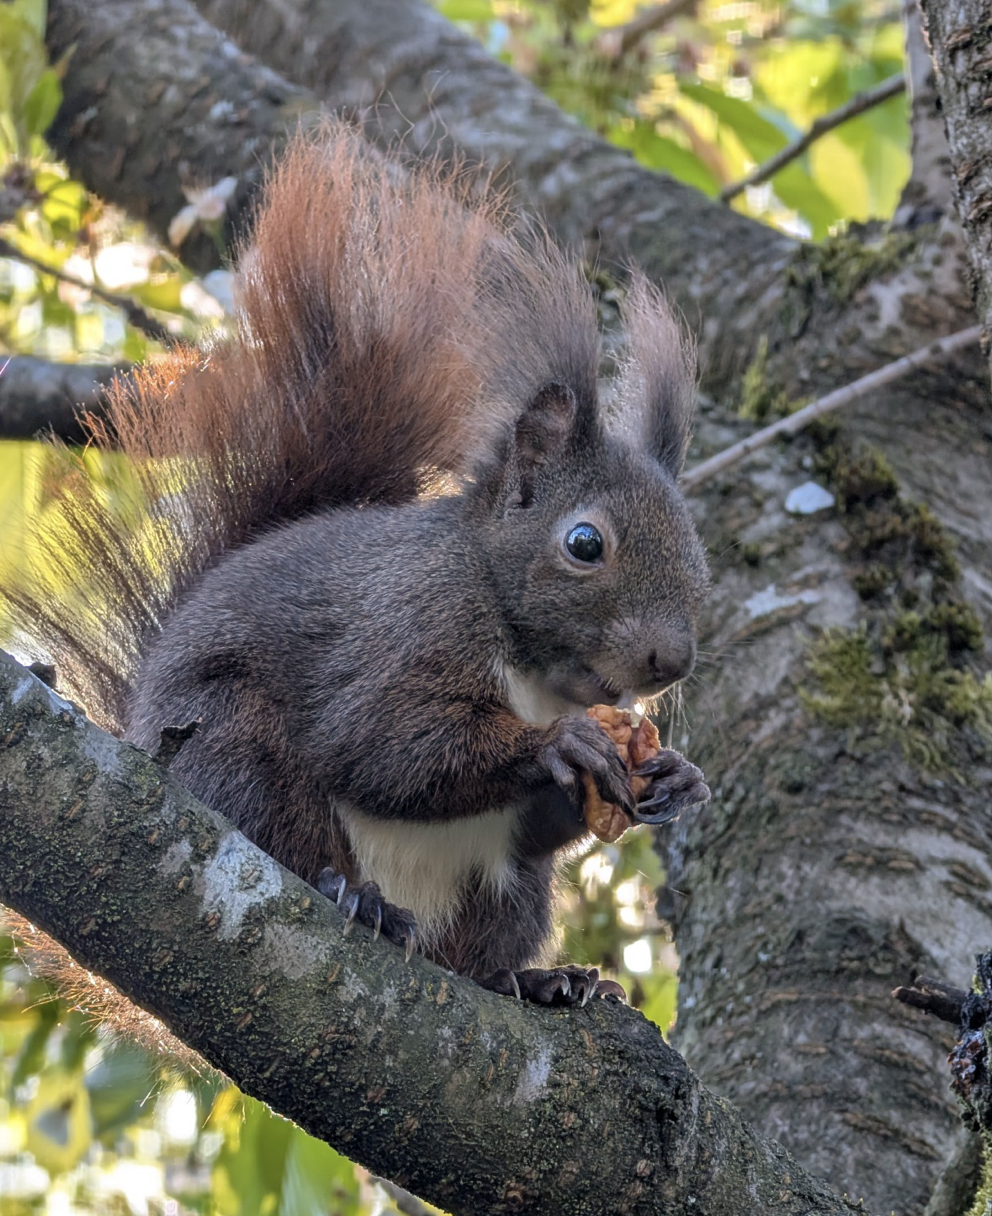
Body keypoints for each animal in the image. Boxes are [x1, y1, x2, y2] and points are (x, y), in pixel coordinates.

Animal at [3, 126, 710, 1007]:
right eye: (585, 544)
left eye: (699, 554)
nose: (670, 661)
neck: (534, 668)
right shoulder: (401, 626)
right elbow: (382, 745)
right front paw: (563, 744)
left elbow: (536, 823)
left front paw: (678, 778)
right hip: (230, 743)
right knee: (275, 823)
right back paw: (354, 896)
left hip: (506, 895)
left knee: (479, 948)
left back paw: (537, 980)